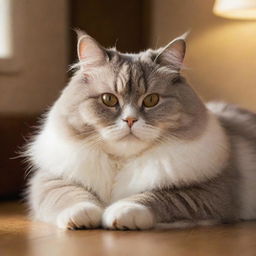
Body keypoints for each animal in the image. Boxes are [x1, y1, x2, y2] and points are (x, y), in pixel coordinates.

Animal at [25, 30, 256, 230]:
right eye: (109, 99)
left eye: (151, 100)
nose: (130, 120)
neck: (121, 162)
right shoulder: (51, 179)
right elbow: (70, 196)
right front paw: (82, 216)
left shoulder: (209, 192)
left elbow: (156, 197)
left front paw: (120, 213)